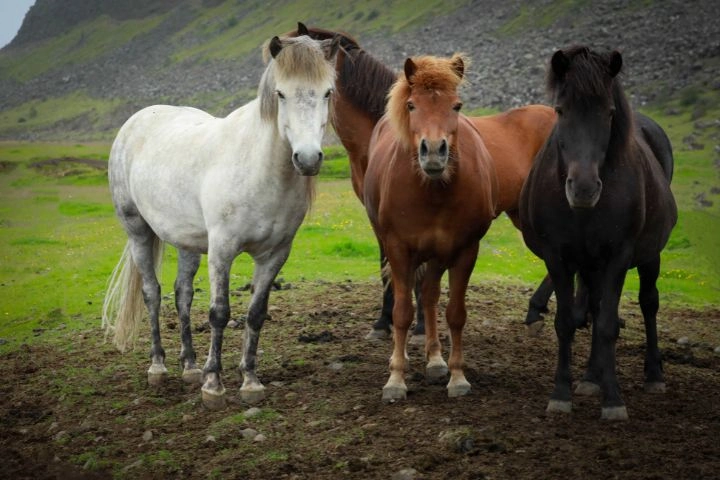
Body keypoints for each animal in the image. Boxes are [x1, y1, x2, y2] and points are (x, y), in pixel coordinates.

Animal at [101, 32, 340, 408]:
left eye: (327, 92)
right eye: (281, 93)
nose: (307, 158)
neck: (261, 170)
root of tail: (134, 122)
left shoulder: (275, 255)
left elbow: (255, 314)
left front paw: (250, 382)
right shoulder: (222, 250)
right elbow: (219, 313)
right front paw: (213, 385)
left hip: (186, 242)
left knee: (182, 294)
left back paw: (189, 367)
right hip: (137, 231)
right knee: (152, 293)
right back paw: (158, 367)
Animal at [362, 53, 498, 402]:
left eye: (457, 105)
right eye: (412, 105)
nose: (434, 151)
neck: (433, 191)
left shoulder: (466, 250)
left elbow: (455, 313)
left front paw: (457, 376)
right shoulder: (398, 249)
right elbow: (401, 313)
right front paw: (396, 379)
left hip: (438, 255)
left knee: (429, 296)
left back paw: (436, 360)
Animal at [520, 46, 676, 420]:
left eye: (609, 113)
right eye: (560, 110)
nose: (584, 188)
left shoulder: (618, 256)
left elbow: (607, 326)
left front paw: (613, 399)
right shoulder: (557, 256)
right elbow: (567, 321)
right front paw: (561, 394)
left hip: (648, 256)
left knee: (648, 303)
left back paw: (653, 374)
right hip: (590, 265)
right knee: (592, 305)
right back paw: (590, 377)